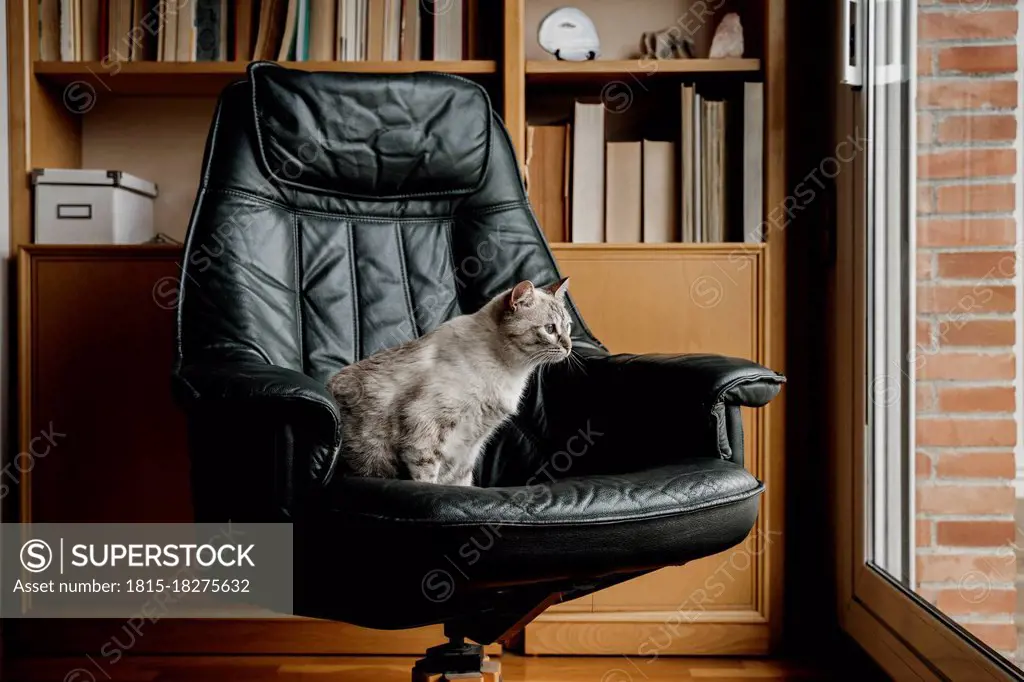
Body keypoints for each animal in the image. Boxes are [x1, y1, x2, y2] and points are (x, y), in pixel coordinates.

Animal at [327, 276, 573, 483]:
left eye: (568, 327)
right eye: (549, 329)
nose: (569, 346)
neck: (512, 372)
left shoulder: (468, 450)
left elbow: (462, 483)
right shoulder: (424, 430)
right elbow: (428, 479)